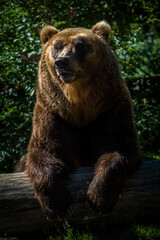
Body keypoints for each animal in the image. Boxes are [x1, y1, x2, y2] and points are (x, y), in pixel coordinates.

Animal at [16, 21, 142, 220]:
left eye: (80, 45)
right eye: (57, 46)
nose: (62, 62)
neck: (79, 105)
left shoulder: (109, 109)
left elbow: (118, 148)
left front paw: (97, 199)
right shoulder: (53, 113)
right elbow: (44, 151)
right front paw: (58, 205)